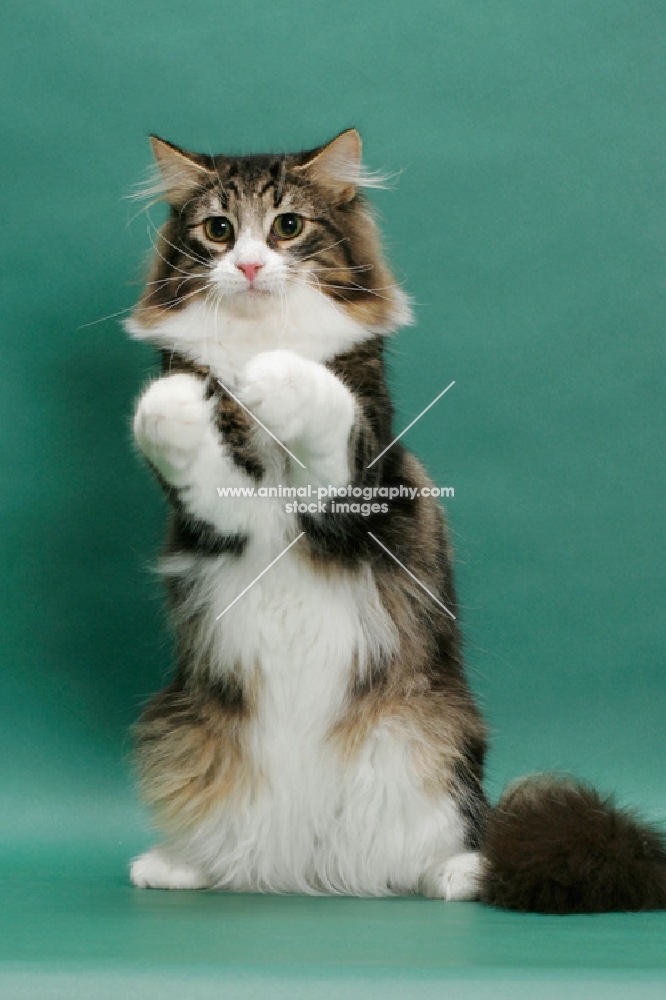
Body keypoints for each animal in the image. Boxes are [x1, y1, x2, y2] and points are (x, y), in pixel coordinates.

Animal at [126, 129, 664, 912]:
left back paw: (460, 874)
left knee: (452, 845)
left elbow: (329, 414)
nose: (250, 265)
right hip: (184, 732)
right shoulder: (215, 524)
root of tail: (308, 867)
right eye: (219, 230)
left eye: (288, 226)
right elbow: (192, 444)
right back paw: (179, 865)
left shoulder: (360, 493)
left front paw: (280, 377)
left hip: (431, 738)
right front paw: (171, 404)